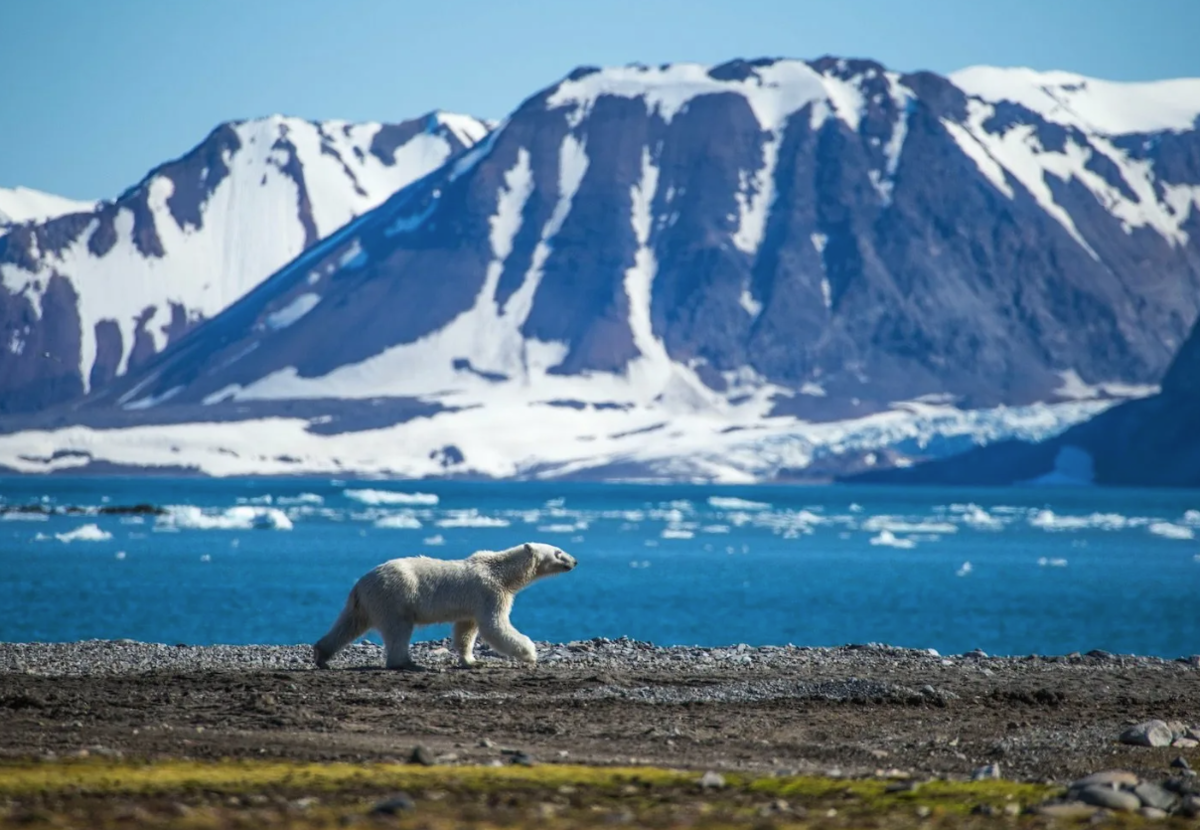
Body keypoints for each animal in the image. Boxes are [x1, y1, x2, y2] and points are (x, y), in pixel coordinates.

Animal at [314, 542, 576, 671]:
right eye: (558, 552)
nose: (574, 561)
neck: (502, 573)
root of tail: (360, 583)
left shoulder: (472, 604)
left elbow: (466, 630)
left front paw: (472, 660)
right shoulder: (490, 593)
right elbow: (495, 625)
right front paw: (530, 653)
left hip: (365, 603)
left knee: (348, 624)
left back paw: (321, 655)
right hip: (394, 597)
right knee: (398, 630)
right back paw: (407, 663)